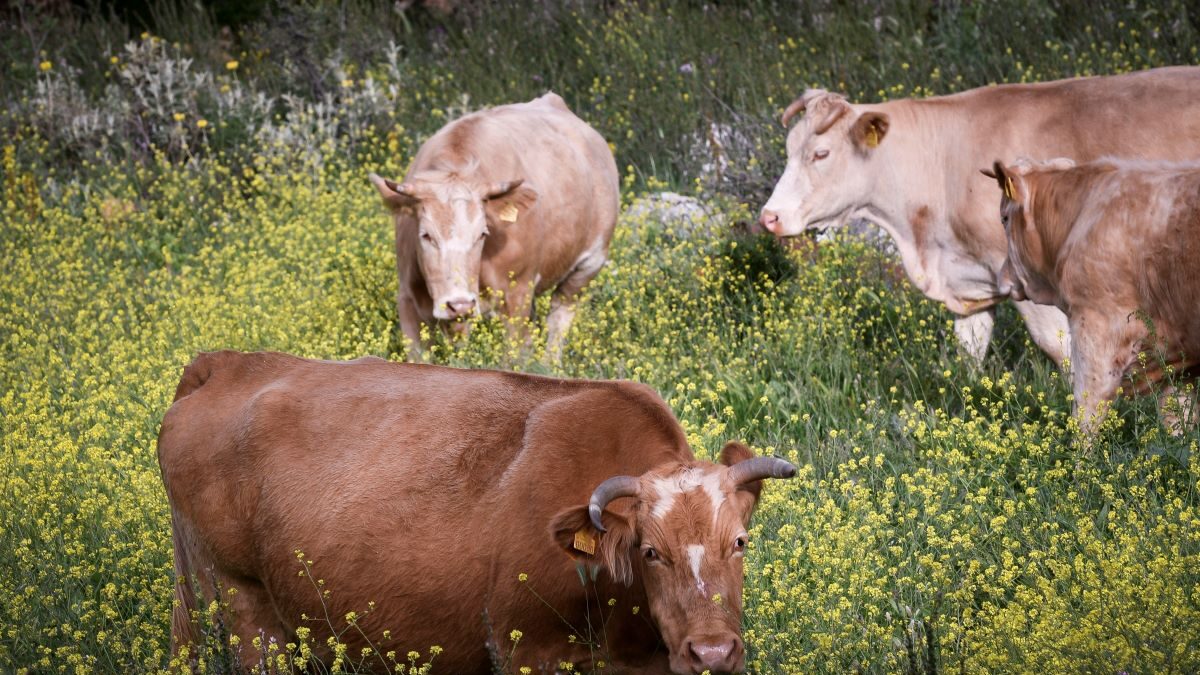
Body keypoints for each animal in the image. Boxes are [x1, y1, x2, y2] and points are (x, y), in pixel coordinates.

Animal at [159, 348, 796, 667]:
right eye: (648, 552)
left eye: (740, 542)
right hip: (239, 606)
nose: (713, 652)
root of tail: (226, 362)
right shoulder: (525, 650)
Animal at [369, 93, 619, 362]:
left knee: (559, 317)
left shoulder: (517, 294)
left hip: (588, 265)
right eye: (425, 235)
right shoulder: (407, 300)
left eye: (482, 234)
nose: (460, 304)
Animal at [758, 64, 1200, 362]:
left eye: (821, 153)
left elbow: (1060, 349)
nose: (769, 216)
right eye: (789, 148)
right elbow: (970, 348)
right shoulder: (970, 279)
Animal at [984, 157, 1200, 429]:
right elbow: (1177, 422)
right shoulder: (1177, 361)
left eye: (1004, 218)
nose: (1002, 277)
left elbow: (1086, 414)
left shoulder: (1097, 332)